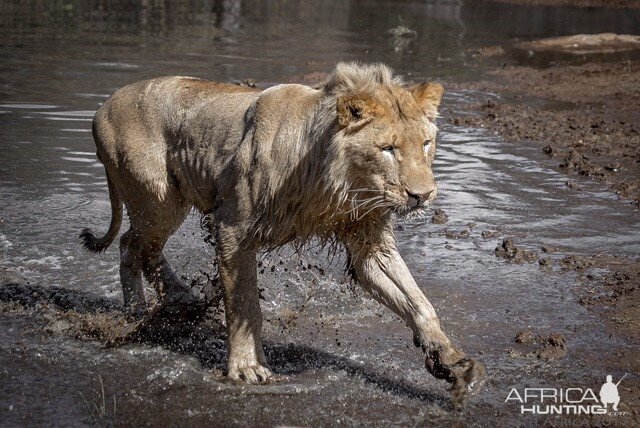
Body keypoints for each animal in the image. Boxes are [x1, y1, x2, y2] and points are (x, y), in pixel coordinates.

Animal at [84, 62, 484, 404]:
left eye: (426, 144)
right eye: (387, 149)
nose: (423, 195)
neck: (334, 183)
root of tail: (101, 108)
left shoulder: (369, 244)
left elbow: (418, 301)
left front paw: (449, 359)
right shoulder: (233, 228)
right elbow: (245, 305)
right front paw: (247, 368)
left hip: (166, 203)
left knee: (143, 249)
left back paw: (180, 299)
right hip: (157, 200)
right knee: (131, 245)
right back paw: (137, 312)